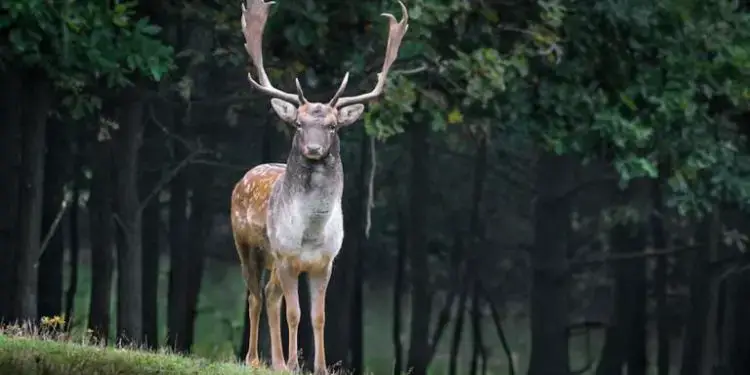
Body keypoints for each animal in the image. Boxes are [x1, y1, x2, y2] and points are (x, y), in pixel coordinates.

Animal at [232, 0, 412, 374]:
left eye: (331, 126)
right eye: (299, 124)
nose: (314, 149)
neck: (311, 233)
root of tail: (244, 178)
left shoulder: (325, 262)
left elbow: (318, 316)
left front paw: (318, 366)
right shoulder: (288, 257)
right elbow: (294, 312)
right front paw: (293, 363)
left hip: (272, 259)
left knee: (269, 294)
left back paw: (275, 361)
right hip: (248, 245)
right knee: (255, 295)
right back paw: (255, 358)